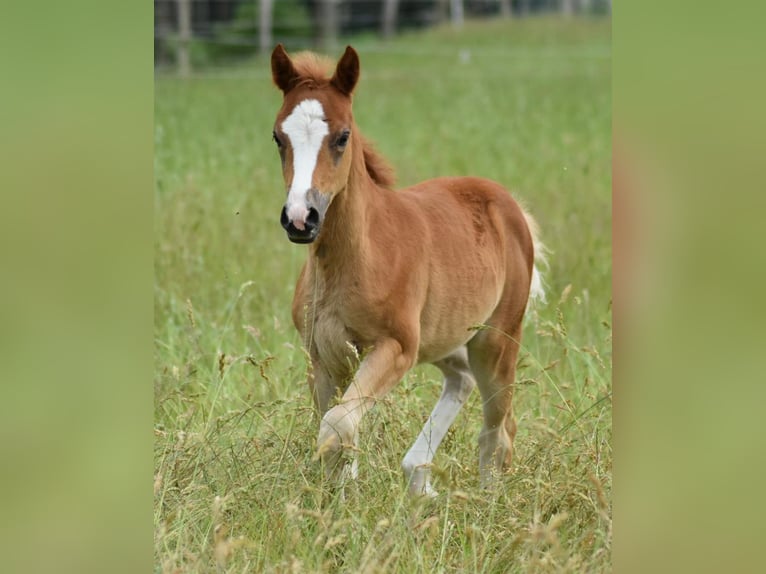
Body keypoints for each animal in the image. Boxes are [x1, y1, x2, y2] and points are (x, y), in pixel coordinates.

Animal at [270, 45, 544, 498]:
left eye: (342, 136)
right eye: (278, 137)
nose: (299, 218)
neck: (352, 260)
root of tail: (510, 204)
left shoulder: (395, 345)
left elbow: (336, 428)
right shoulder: (323, 356)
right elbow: (336, 431)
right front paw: (341, 502)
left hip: (496, 339)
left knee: (499, 430)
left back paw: (484, 500)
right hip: (445, 334)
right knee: (461, 379)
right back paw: (418, 478)